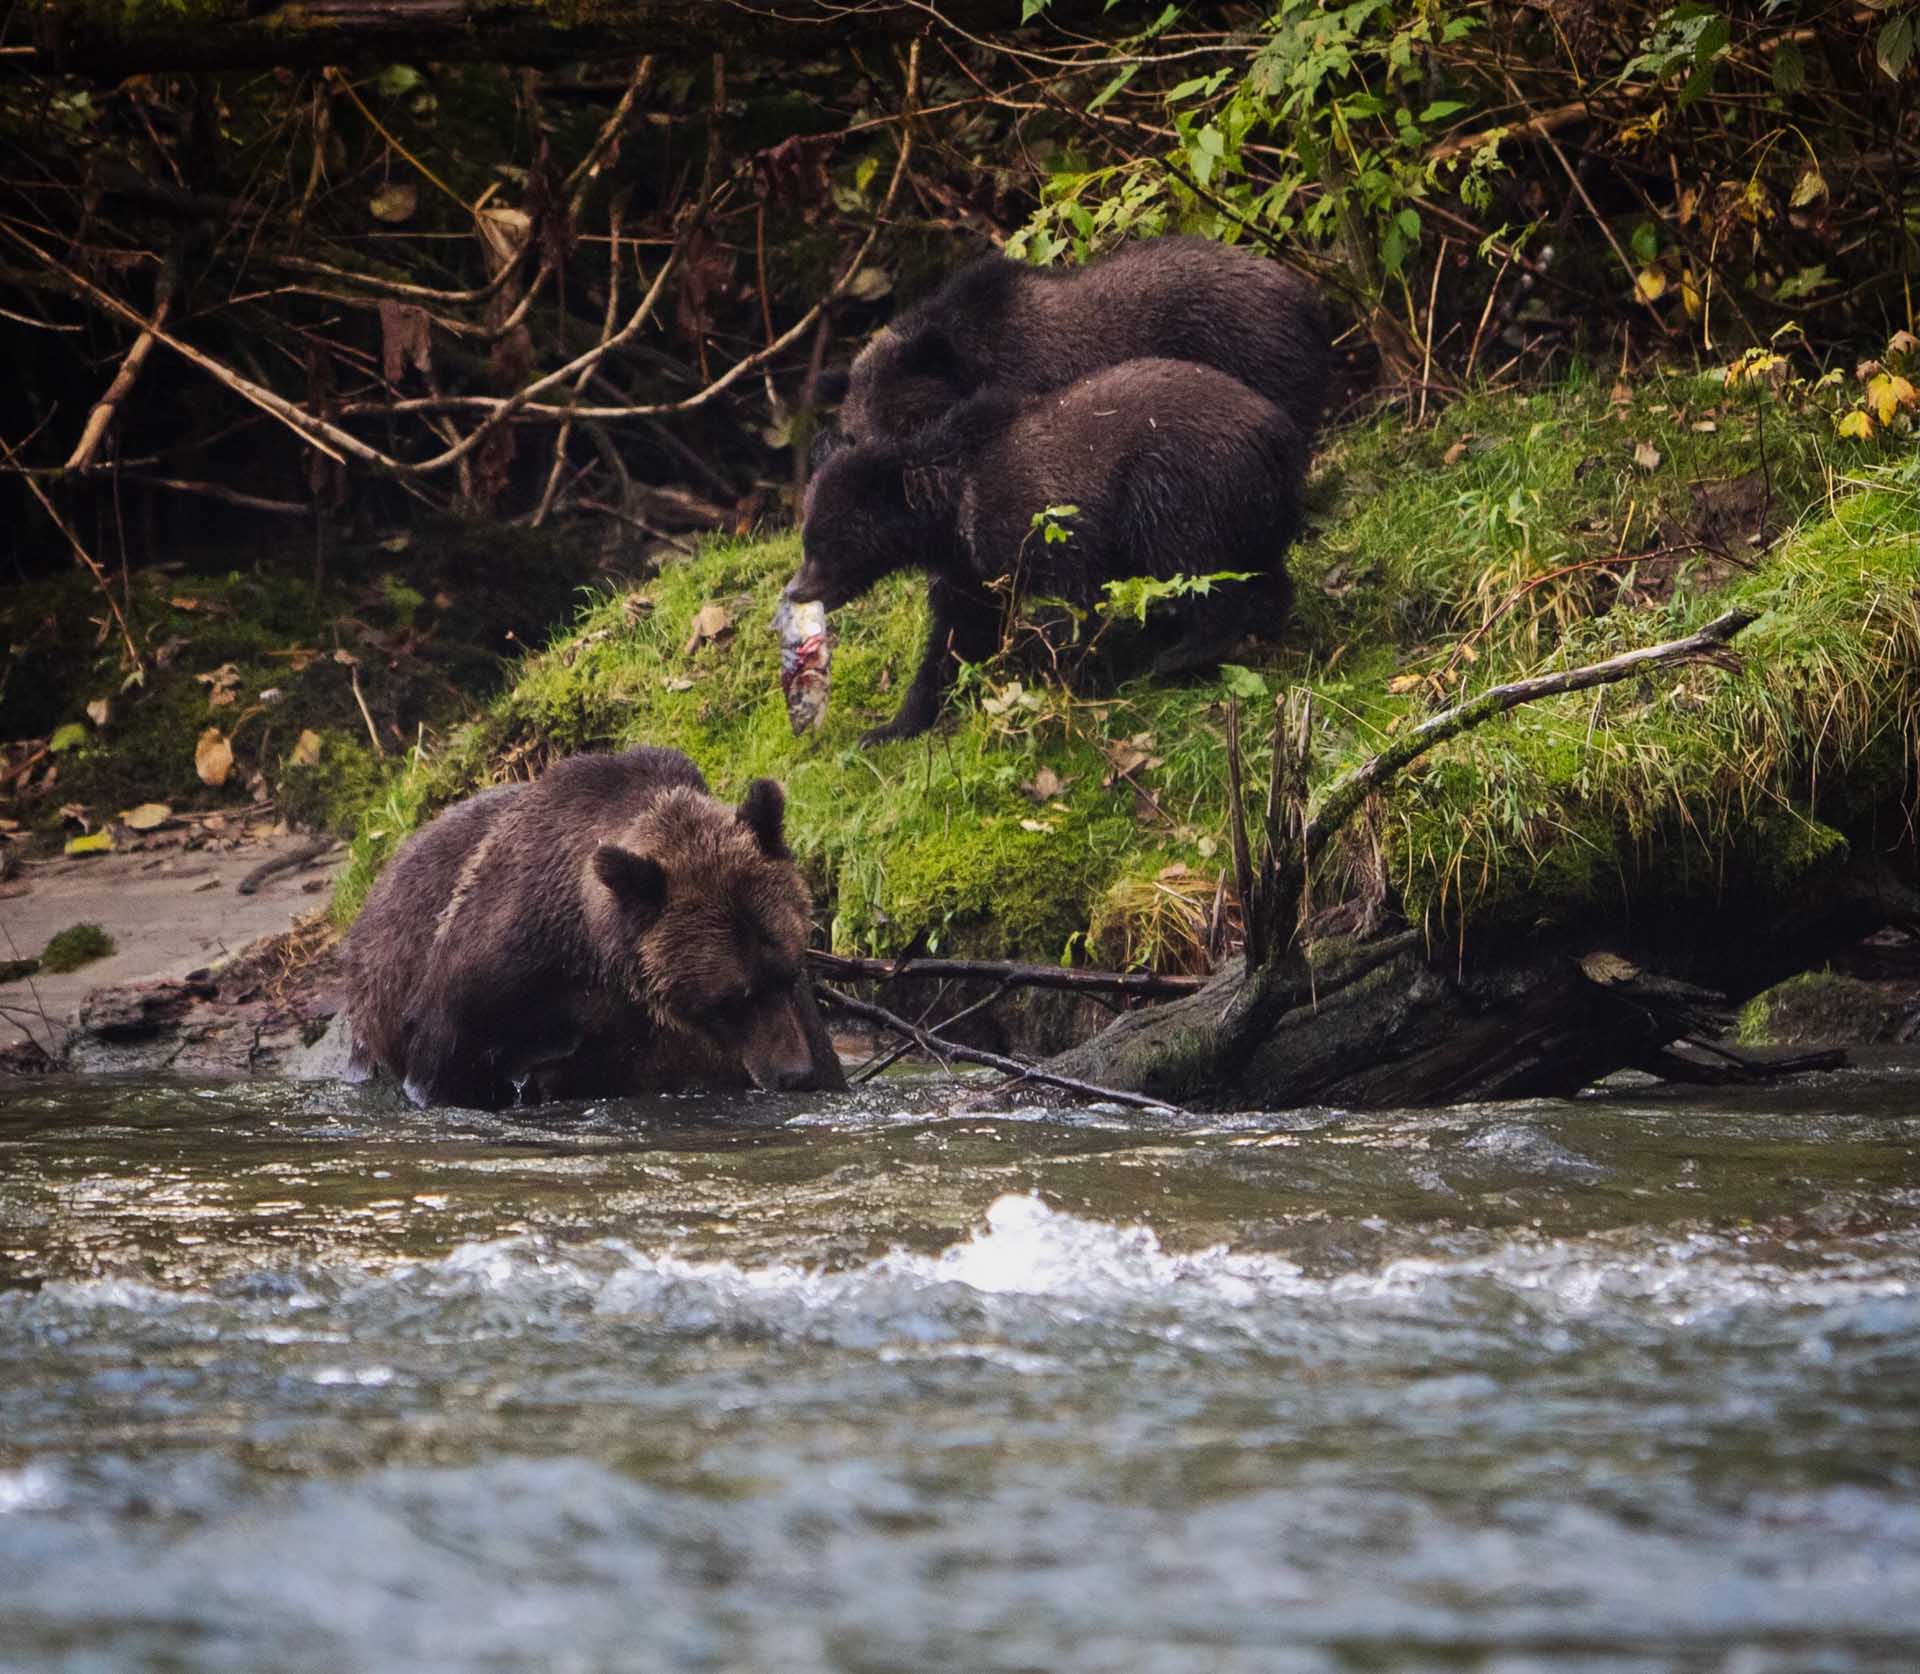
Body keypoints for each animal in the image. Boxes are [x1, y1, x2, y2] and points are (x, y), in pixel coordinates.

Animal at [787, 356, 1305, 744]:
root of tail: (1278, 432)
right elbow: (957, 635)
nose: (795, 588)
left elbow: (1076, 602)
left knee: (1191, 562)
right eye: (809, 535)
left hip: (1172, 480)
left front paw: (1065, 672)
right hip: (1257, 507)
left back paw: (1181, 654)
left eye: (825, 541)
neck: (950, 507)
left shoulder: (1038, 521)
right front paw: (892, 725)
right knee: (1262, 571)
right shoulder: (969, 566)